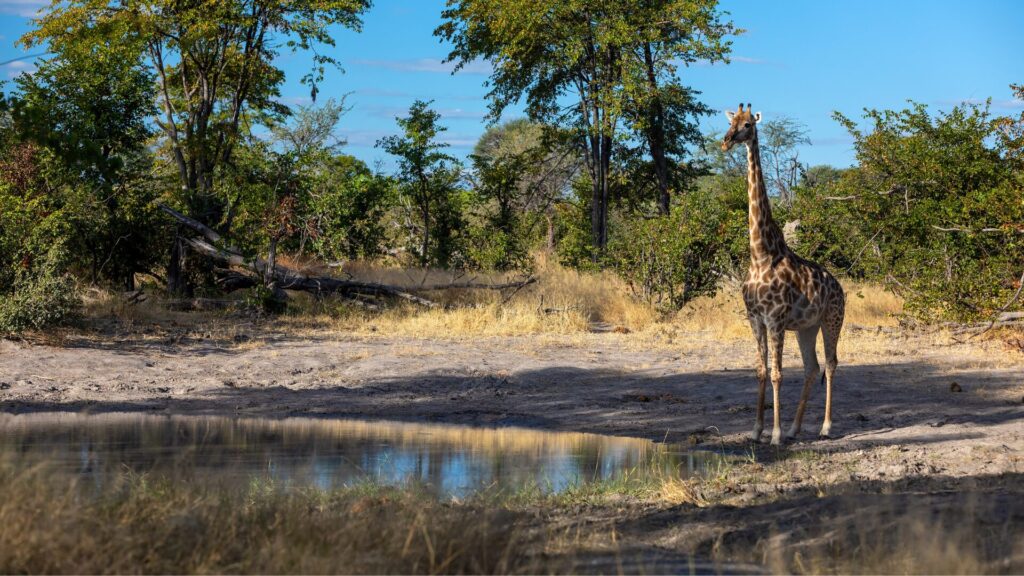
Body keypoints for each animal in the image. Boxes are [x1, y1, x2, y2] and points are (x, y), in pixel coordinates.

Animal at [721, 103, 846, 446]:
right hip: (807, 327)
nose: (725, 141)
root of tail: (841, 287)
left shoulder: (775, 319)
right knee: (811, 368)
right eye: (732, 122)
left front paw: (774, 434)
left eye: (748, 125)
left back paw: (825, 427)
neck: (761, 255)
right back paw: (795, 428)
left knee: (831, 364)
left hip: (832, 320)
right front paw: (756, 430)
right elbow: (762, 371)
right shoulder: (755, 319)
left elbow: (777, 373)